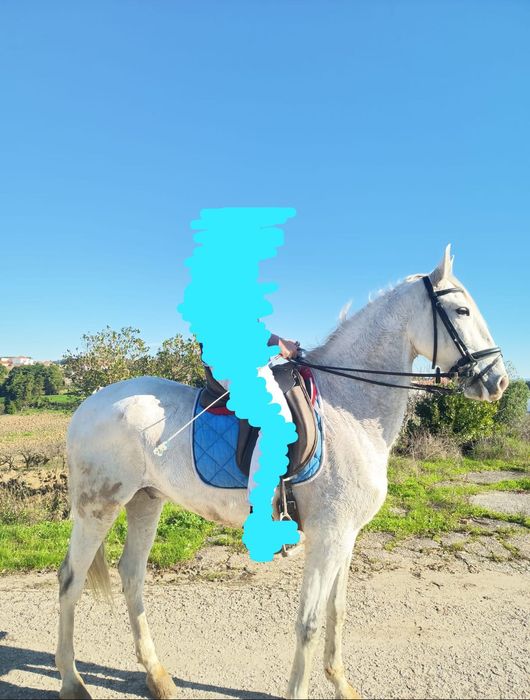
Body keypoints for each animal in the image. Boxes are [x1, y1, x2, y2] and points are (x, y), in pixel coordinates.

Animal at [56, 245, 508, 700]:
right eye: (462, 310)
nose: (499, 381)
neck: (349, 406)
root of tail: (89, 403)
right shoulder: (328, 536)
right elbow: (308, 622)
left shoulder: (345, 535)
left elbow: (337, 610)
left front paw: (341, 683)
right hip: (98, 508)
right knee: (70, 581)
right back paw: (72, 681)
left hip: (145, 501)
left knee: (132, 576)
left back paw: (157, 675)